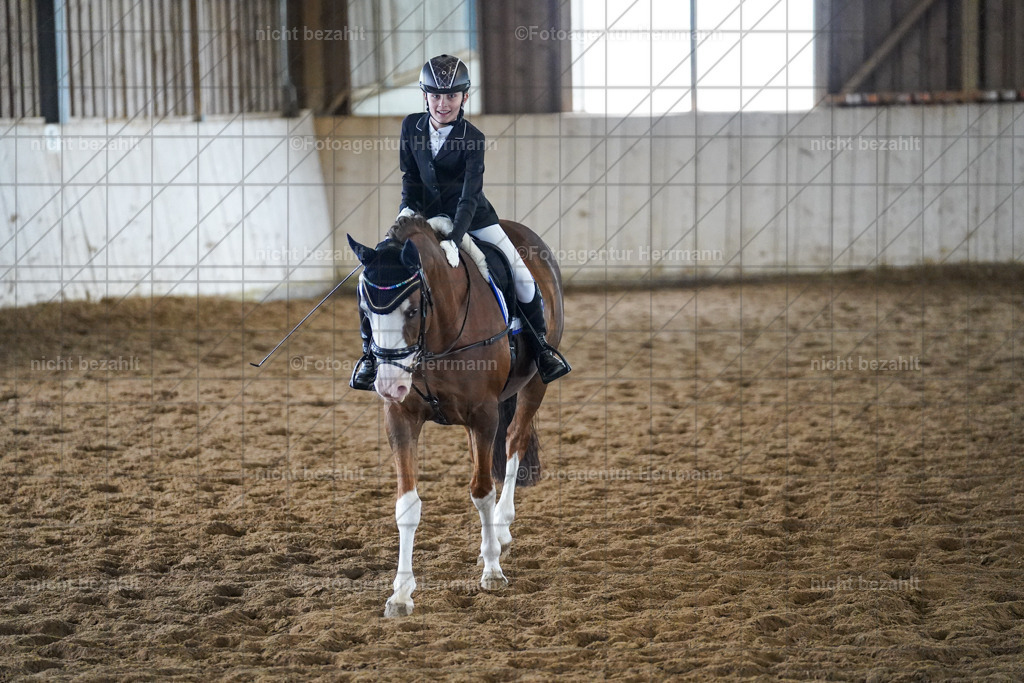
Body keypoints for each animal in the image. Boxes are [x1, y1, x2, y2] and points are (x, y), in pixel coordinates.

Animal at [346, 214, 565, 617]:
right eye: (365, 313)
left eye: (412, 311)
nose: (389, 384)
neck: (437, 337)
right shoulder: (400, 417)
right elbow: (407, 504)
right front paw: (401, 593)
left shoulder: (484, 415)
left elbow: (482, 491)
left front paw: (492, 570)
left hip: (534, 386)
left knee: (514, 443)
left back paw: (502, 527)